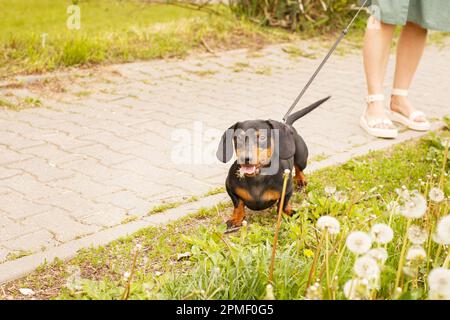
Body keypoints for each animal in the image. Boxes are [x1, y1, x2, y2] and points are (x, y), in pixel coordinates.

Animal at [216, 96, 328, 229]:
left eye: (262, 137)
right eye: (238, 138)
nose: (245, 158)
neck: (257, 178)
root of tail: (287, 124)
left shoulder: (288, 188)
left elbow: (282, 204)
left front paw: (288, 212)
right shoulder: (229, 187)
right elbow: (238, 204)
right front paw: (236, 218)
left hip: (302, 157)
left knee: (299, 169)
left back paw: (301, 180)